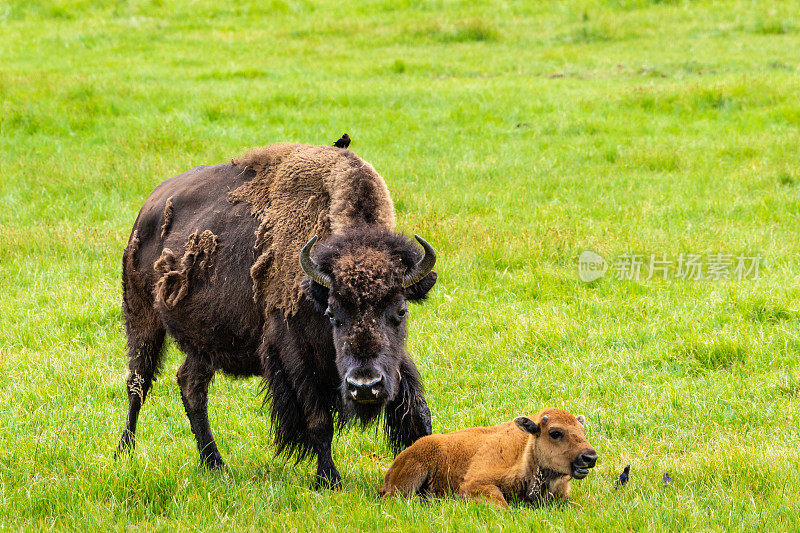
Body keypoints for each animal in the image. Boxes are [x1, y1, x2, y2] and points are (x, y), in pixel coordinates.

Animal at [115, 141, 434, 486]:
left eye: (400, 311)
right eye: (333, 314)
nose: (364, 387)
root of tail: (147, 208)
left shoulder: (393, 361)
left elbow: (417, 410)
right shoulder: (294, 353)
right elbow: (319, 421)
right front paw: (329, 479)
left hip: (205, 341)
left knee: (190, 385)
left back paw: (214, 463)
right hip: (142, 318)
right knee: (138, 384)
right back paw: (124, 453)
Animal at [380, 410, 592, 504]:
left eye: (582, 431)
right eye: (555, 433)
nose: (590, 457)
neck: (525, 452)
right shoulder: (475, 484)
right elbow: (502, 504)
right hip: (410, 477)